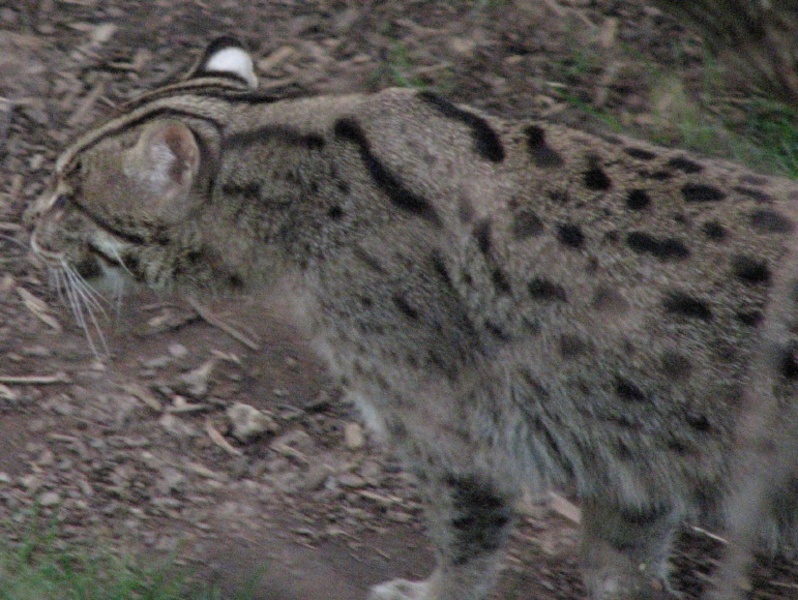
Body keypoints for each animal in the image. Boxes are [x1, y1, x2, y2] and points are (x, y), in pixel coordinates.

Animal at [25, 38, 798, 600]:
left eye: (70, 194)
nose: (28, 222)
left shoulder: (456, 435)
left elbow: (465, 546)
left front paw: (431, 593)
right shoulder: (633, 454)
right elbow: (622, 562)